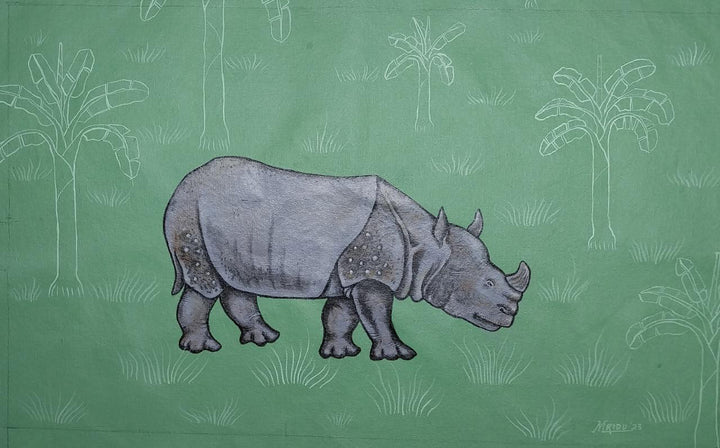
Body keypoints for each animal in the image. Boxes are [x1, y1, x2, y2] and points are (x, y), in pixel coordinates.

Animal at [163, 157, 531, 361]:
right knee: (205, 284)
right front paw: (398, 356)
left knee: (236, 281)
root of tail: (181, 186)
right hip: (189, 215)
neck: (427, 246)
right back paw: (203, 349)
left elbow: (342, 314)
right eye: (487, 283)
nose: (510, 315)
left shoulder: (354, 272)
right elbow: (378, 315)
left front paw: (340, 354)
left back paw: (265, 339)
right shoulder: (372, 272)